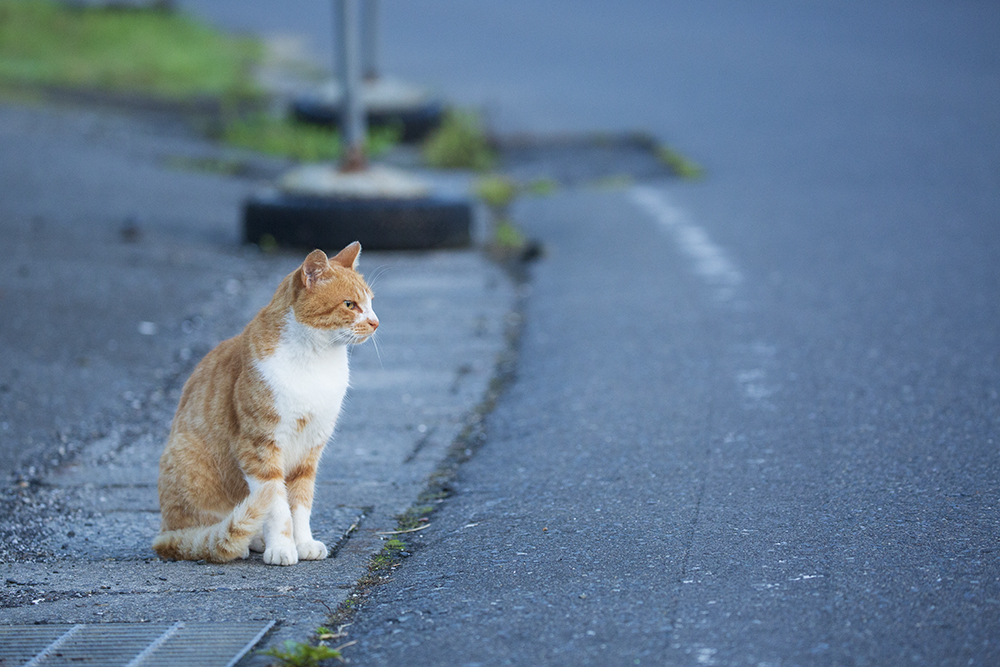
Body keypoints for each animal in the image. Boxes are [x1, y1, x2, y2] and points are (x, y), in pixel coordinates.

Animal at [152, 243, 378, 568]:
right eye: (350, 305)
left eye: (371, 302)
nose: (375, 322)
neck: (316, 360)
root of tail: (163, 532)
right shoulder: (259, 447)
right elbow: (277, 506)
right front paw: (282, 547)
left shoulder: (310, 450)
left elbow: (301, 504)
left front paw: (303, 543)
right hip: (188, 461)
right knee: (204, 534)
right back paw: (240, 542)